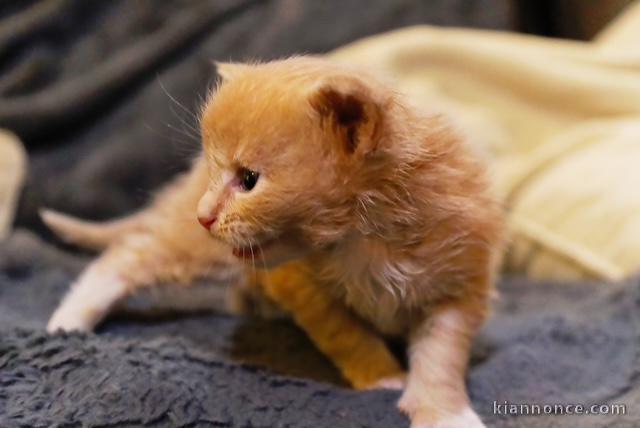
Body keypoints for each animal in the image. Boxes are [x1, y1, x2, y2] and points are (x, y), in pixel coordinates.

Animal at [43, 56, 504, 428]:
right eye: (217, 171)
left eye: (248, 180)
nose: (204, 215)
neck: (365, 234)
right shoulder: (300, 285)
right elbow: (346, 333)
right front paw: (382, 375)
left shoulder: (461, 280)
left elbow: (442, 355)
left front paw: (445, 412)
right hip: (195, 246)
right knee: (127, 256)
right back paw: (69, 319)